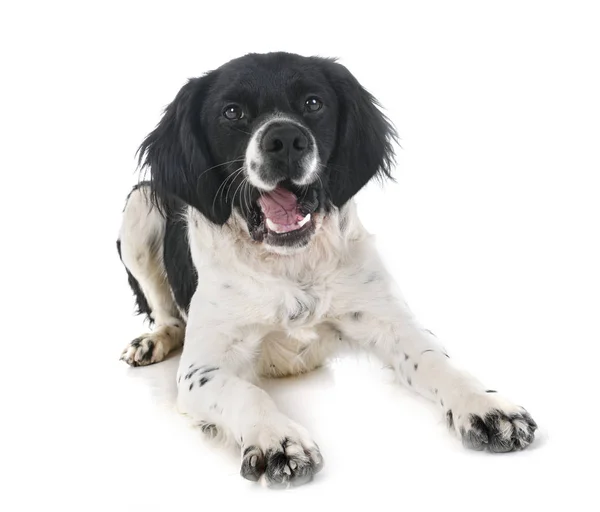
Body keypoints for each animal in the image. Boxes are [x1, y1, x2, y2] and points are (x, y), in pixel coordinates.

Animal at [115, 52, 536, 488]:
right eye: (232, 112)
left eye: (313, 103)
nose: (285, 139)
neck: (291, 264)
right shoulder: (203, 367)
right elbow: (246, 393)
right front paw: (278, 439)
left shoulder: (392, 322)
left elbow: (438, 361)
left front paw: (485, 406)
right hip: (140, 205)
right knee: (168, 315)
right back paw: (151, 341)